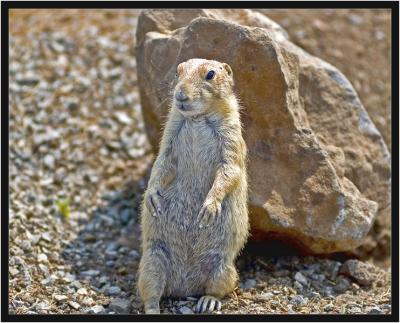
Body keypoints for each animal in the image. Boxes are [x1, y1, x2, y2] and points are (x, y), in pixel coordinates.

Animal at [139, 57, 248, 314]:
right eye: (178, 71)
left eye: (210, 74)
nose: (180, 94)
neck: (198, 118)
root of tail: (184, 287)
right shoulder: (170, 134)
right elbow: (161, 163)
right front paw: (152, 198)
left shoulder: (231, 137)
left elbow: (229, 171)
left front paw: (208, 209)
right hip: (151, 262)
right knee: (151, 295)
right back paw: (154, 309)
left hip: (223, 268)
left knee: (216, 290)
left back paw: (207, 303)